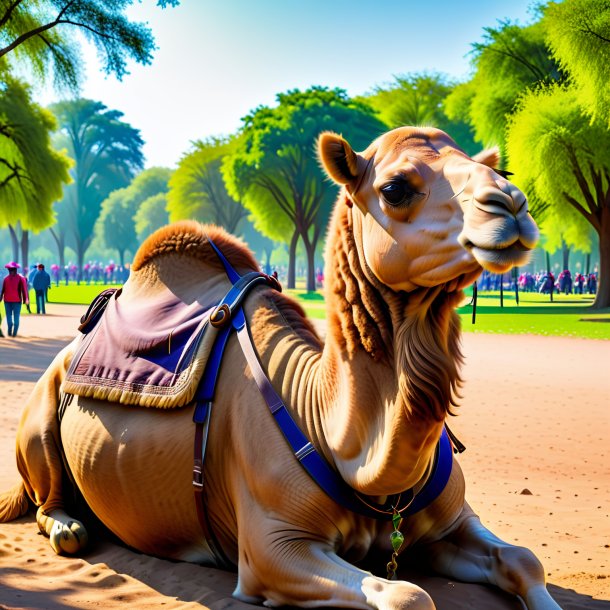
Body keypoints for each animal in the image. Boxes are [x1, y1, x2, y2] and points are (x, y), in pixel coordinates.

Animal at [0, 126, 556, 604]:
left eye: (498, 170)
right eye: (395, 188)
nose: (510, 203)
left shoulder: (451, 523)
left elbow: (525, 559)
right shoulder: (274, 547)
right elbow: (408, 595)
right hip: (42, 414)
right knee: (47, 499)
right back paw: (70, 526)